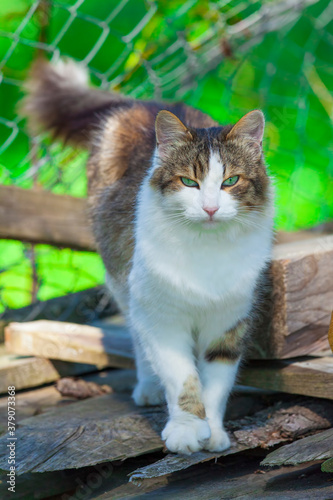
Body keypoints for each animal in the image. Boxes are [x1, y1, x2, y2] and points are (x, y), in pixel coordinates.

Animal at [22, 57, 272, 454]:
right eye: (189, 183)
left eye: (230, 181)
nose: (211, 208)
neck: (207, 247)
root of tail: (139, 103)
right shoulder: (161, 317)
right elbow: (183, 378)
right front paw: (187, 430)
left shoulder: (229, 321)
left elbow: (216, 384)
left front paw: (213, 431)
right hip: (124, 283)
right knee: (138, 339)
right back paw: (149, 388)